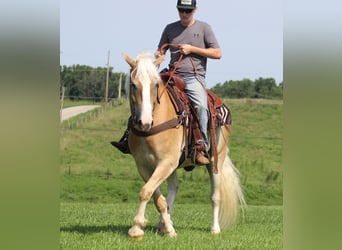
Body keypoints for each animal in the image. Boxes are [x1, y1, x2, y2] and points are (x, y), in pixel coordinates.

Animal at [121, 51, 244, 240]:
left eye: (155, 84)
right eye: (133, 85)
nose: (144, 122)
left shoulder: (166, 162)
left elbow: (146, 192)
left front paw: (136, 228)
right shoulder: (144, 166)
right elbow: (156, 197)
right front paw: (167, 228)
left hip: (216, 160)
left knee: (215, 197)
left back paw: (215, 229)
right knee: (173, 188)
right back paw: (164, 225)